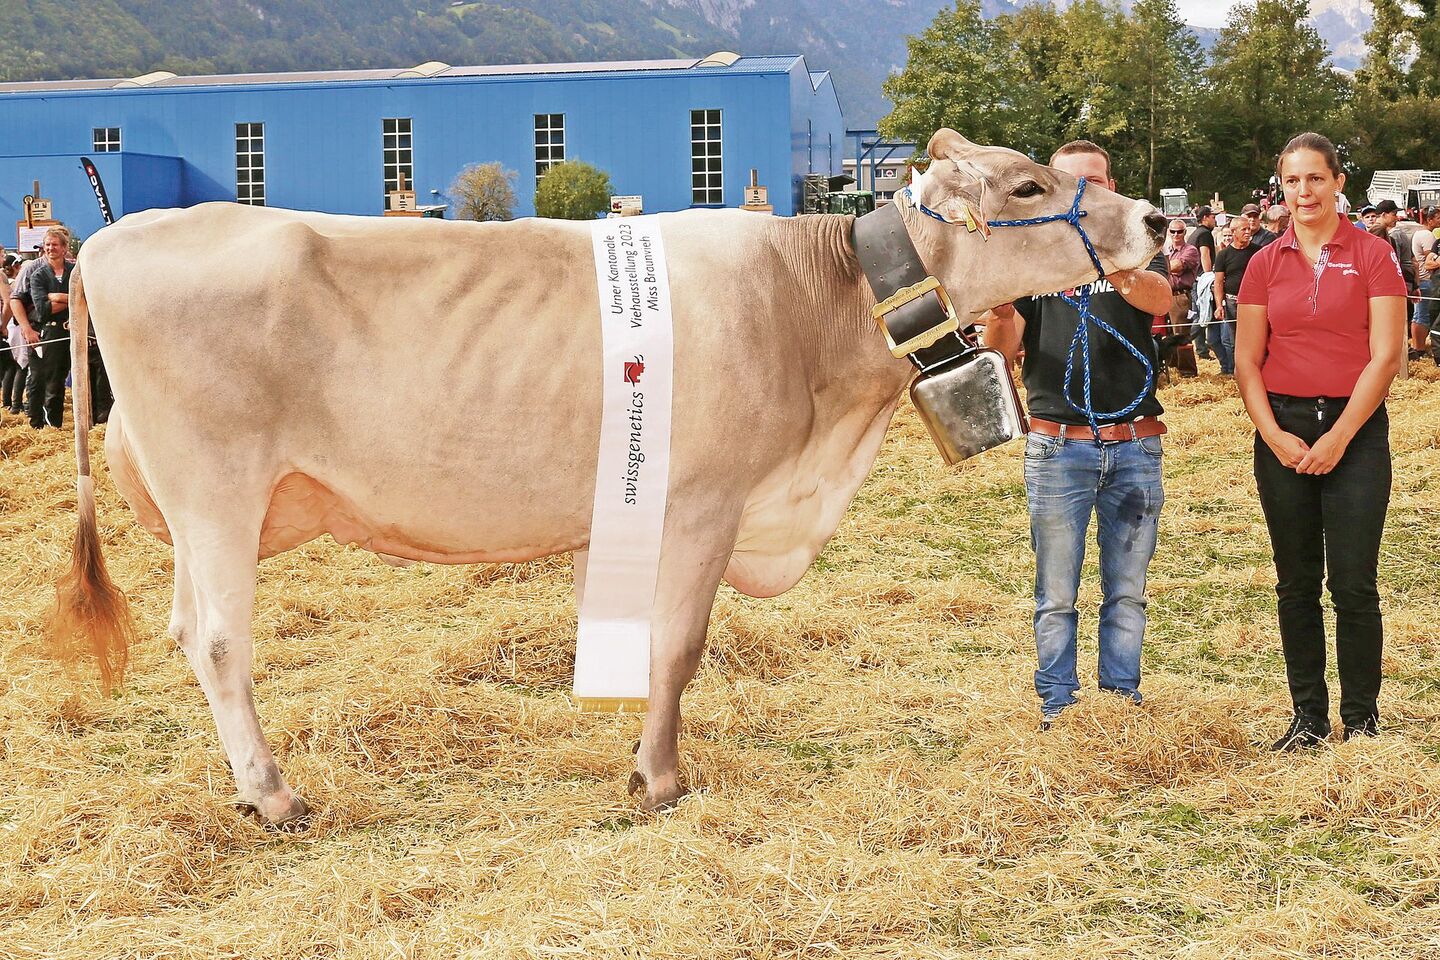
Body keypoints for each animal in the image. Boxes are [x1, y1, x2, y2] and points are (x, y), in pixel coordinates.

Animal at [48, 130, 1166, 827]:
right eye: (1028, 187)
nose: (1156, 222)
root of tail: (111, 236)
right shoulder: (706, 500)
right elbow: (678, 647)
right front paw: (658, 777)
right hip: (220, 493)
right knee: (221, 641)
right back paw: (276, 796)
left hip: (201, 514)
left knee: (186, 632)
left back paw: (245, 788)